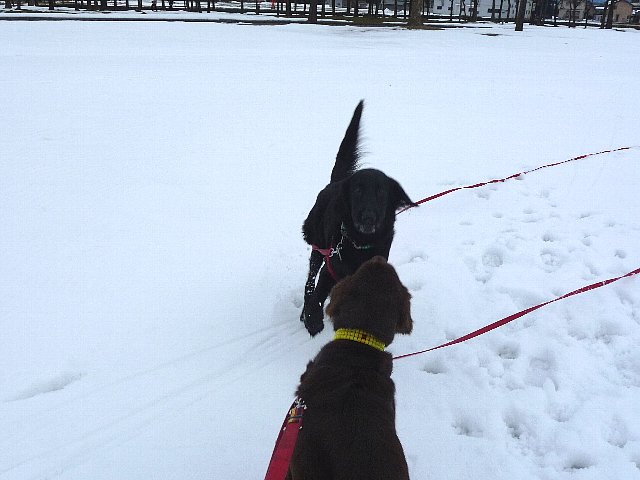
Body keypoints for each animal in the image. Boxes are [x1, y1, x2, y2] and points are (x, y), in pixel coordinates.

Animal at [301, 100, 416, 336]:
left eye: (381, 192)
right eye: (357, 190)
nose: (368, 218)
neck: (360, 243)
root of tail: (335, 182)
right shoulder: (330, 268)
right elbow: (318, 294)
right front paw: (312, 318)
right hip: (318, 242)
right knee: (310, 280)